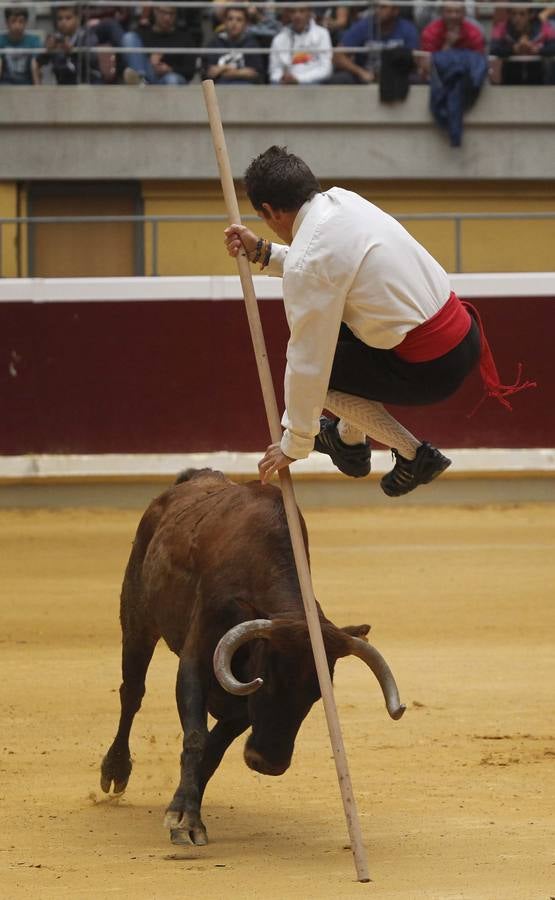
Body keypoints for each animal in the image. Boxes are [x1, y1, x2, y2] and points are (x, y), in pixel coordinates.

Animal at [101, 468, 404, 848]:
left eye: (317, 695)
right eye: (268, 682)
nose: (268, 763)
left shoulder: (240, 708)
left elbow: (213, 750)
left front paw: (187, 812)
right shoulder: (197, 661)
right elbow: (196, 737)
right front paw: (184, 819)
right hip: (137, 617)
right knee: (132, 693)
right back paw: (114, 770)